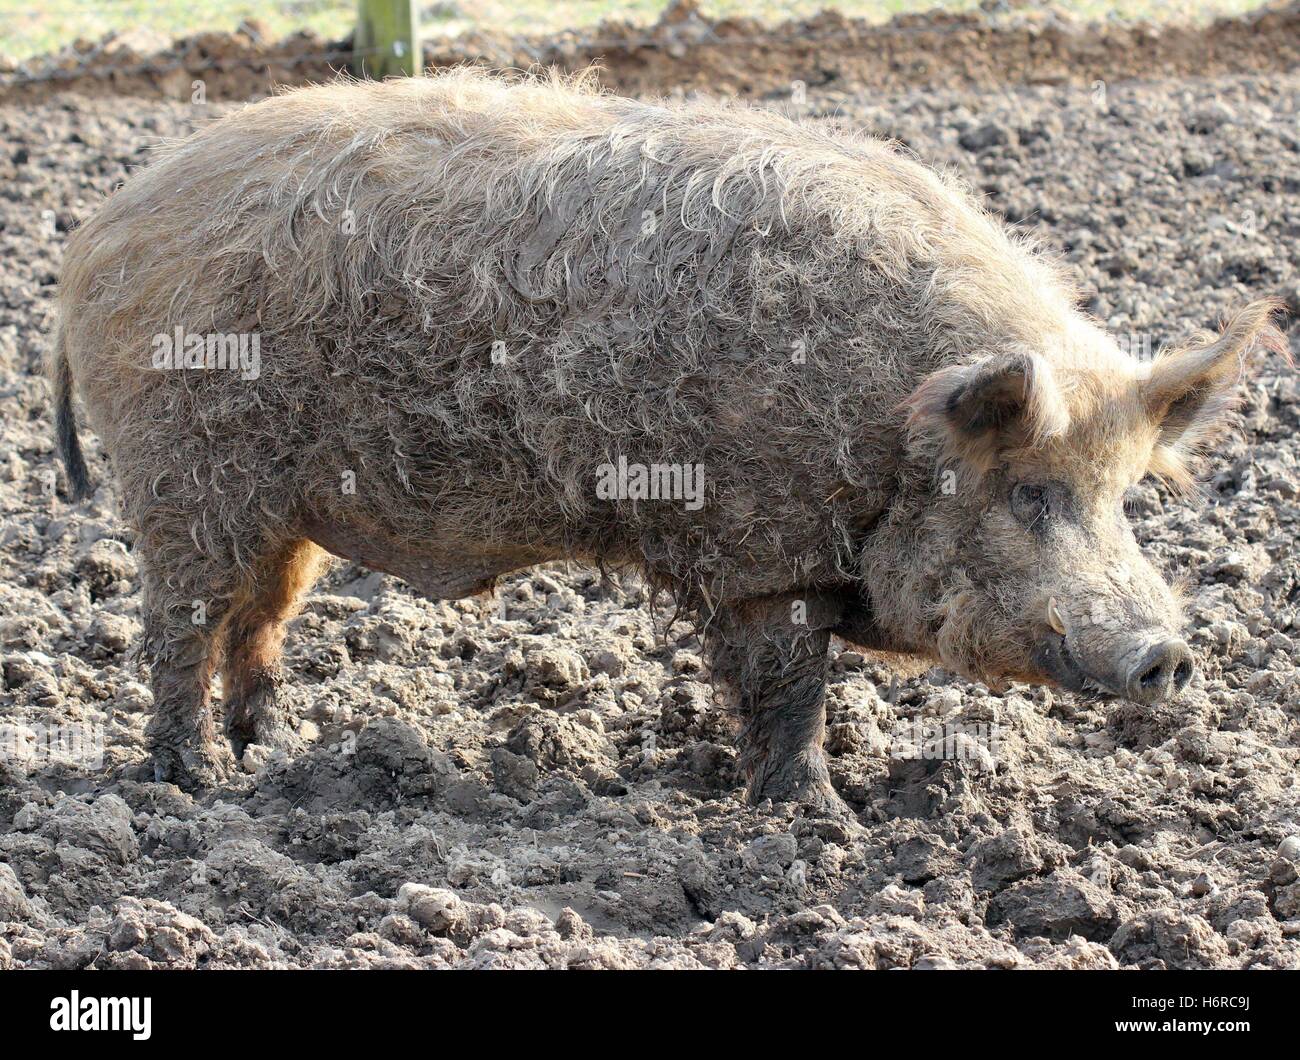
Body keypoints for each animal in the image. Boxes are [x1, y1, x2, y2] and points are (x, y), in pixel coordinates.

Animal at [48, 70, 1279, 806]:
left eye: (1122, 495)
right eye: (1029, 492)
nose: (1167, 655)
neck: (887, 427)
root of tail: (94, 234)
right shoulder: (756, 549)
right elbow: (789, 684)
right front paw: (812, 812)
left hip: (279, 508)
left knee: (255, 617)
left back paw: (277, 749)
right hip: (180, 471)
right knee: (177, 625)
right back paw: (195, 782)